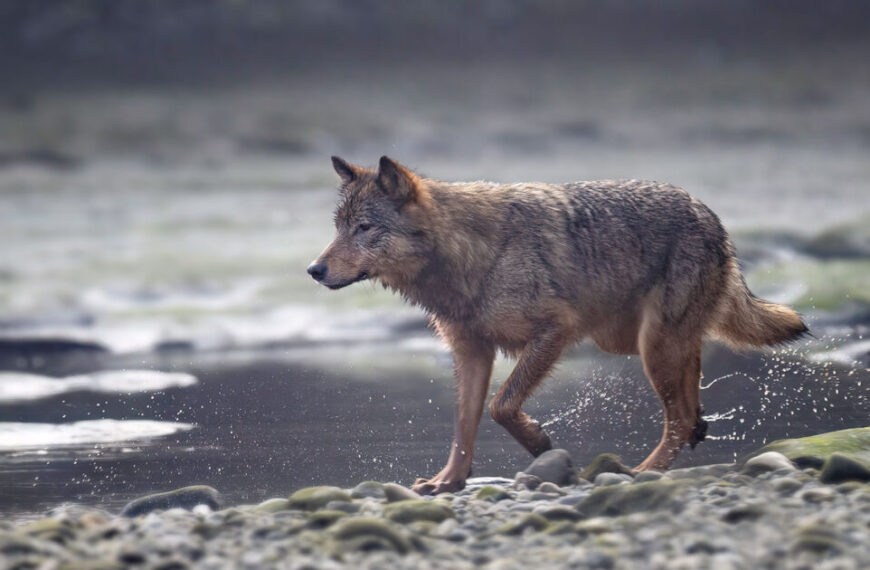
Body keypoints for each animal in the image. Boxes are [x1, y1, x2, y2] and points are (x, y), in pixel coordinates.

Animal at [307, 156, 807, 494]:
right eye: (338, 228)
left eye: (364, 228)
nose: (313, 270)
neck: (472, 255)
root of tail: (711, 216)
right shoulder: (471, 352)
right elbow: (464, 425)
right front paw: (448, 482)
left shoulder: (554, 331)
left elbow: (502, 407)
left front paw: (540, 444)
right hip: (637, 343)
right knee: (690, 393)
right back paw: (692, 432)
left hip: (649, 347)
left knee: (679, 417)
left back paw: (644, 472)